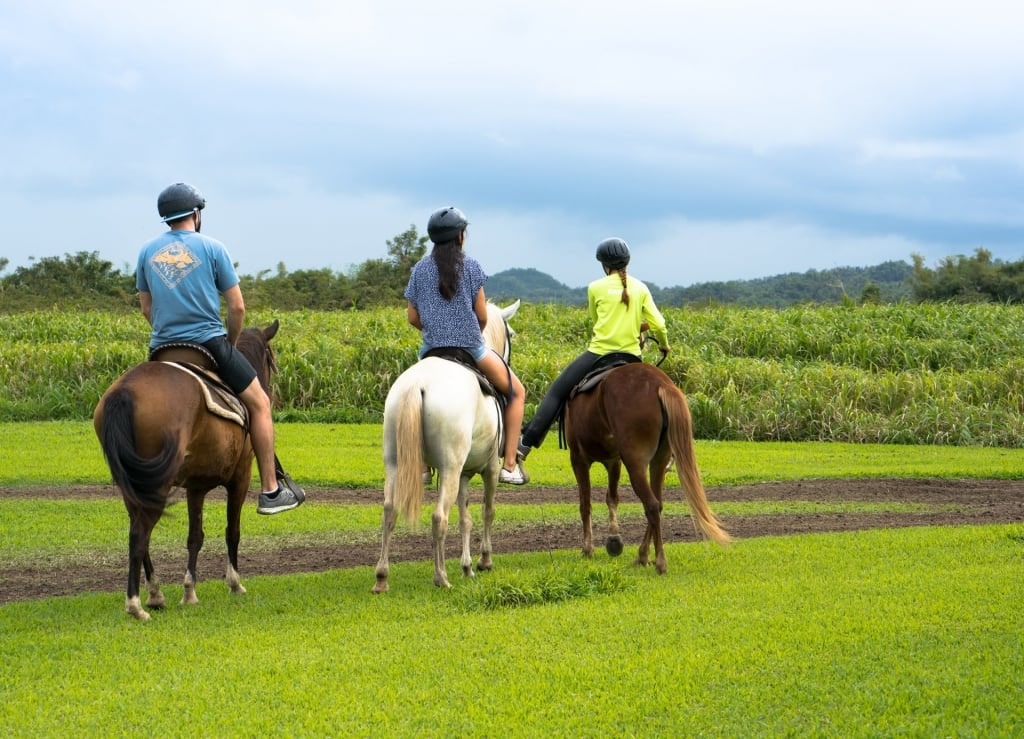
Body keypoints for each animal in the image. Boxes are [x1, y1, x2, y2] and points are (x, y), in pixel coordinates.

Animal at [93, 319, 280, 618]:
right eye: (271, 359)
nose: (273, 393)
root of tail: (125, 391)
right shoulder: (241, 476)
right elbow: (232, 530)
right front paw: (234, 583)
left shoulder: (196, 486)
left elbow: (195, 536)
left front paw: (190, 591)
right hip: (158, 481)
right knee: (139, 534)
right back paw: (135, 604)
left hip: (132, 482)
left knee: (140, 532)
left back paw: (155, 594)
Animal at [374, 296, 524, 589]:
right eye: (511, 334)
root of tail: (417, 383)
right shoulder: (489, 468)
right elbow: (488, 511)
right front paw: (484, 561)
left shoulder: (464, 474)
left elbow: (465, 518)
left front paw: (467, 567)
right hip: (450, 468)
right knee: (438, 517)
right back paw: (441, 577)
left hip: (395, 463)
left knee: (389, 510)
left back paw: (382, 577)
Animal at [565, 360, 733, 573]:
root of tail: (661, 384)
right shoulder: (614, 461)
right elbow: (612, 498)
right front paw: (613, 538)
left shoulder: (579, 459)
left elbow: (585, 504)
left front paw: (588, 549)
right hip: (658, 461)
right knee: (657, 505)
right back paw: (643, 555)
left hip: (635, 462)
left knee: (651, 505)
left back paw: (659, 561)